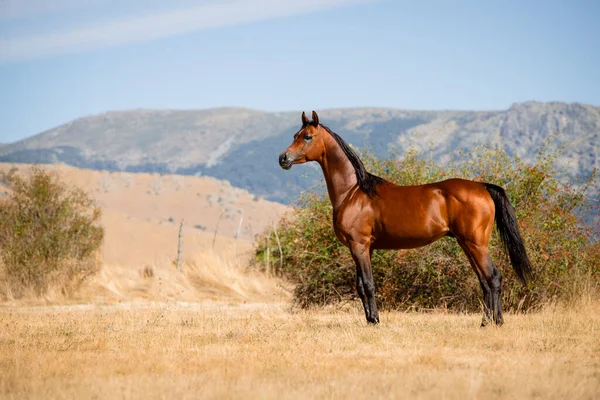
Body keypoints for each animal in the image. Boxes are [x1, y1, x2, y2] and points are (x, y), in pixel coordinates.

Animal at [278, 109, 532, 324]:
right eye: (295, 135)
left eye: (308, 137)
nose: (283, 158)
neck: (353, 192)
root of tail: (482, 187)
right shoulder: (362, 248)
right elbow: (360, 285)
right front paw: (369, 319)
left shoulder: (359, 245)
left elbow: (368, 284)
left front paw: (375, 321)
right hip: (467, 244)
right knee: (484, 281)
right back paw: (486, 322)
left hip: (476, 244)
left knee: (493, 277)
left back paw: (495, 322)